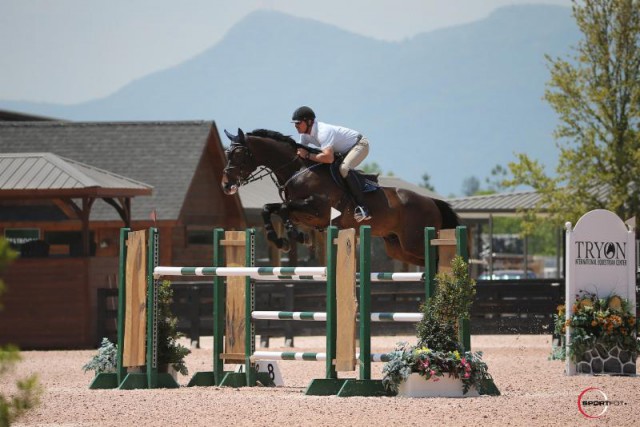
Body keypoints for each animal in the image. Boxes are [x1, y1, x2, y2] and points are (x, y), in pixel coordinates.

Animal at [221, 129, 460, 266]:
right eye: (227, 153)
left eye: (238, 154)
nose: (226, 185)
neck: (298, 171)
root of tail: (431, 202)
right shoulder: (302, 212)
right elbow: (269, 208)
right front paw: (281, 240)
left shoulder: (318, 210)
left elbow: (283, 209)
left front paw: (297, 237)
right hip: (398, 248)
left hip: (415, 242)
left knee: (439, 259)